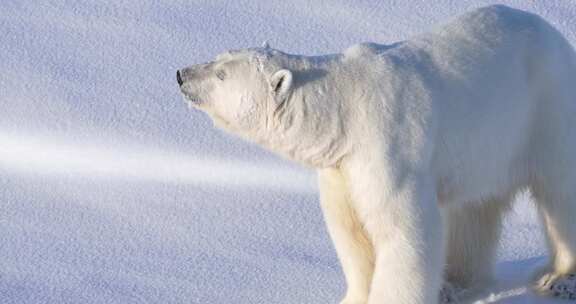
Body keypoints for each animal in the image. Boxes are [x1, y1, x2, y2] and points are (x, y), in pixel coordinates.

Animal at [178, 4, 576, 304]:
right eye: (217, 57)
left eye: (222, 74)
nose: (181, 74)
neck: (344, 107)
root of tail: (558, 37)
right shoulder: (341, 168)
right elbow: (351, 232)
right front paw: (352, 298)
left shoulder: (388, 147)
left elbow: (401, 231)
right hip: (489, 142)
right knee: (473, 208)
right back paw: (454, 283)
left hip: (546, 111)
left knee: (560, 193)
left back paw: (557, 279)